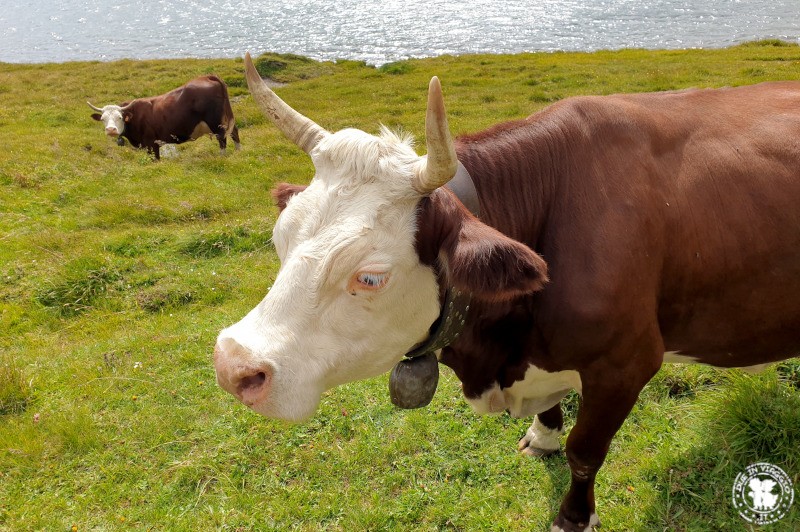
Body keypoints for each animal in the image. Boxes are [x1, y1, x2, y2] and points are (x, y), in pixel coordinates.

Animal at [87, 75, 239, 159]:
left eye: (119, 117)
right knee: (235, 132)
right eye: (103, 119)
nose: (111, 130)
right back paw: (239, 152)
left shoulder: (150, 143)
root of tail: (207, 76)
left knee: (223, 139)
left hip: (216, 123)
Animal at [212, 54, 800, 532]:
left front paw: (572, 517)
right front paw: (543, 437)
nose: (232, 365)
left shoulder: (627, 362)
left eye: (370, 277)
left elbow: (586, 453)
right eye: (280, 236)